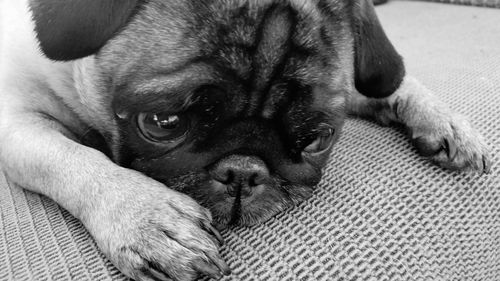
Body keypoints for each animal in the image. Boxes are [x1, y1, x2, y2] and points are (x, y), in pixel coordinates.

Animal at [0, 0, 492, 280]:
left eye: (317, 139)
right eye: (162, 122)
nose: (243, 171)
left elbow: (391, 83)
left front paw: (444, 121)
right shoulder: (16, 123)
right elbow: (72, 158)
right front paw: (145, 215)